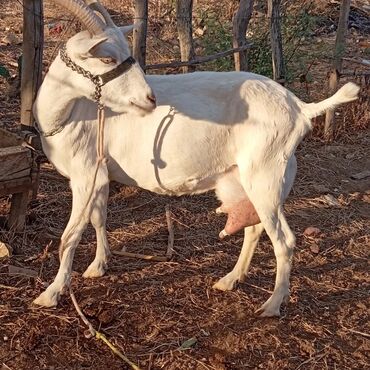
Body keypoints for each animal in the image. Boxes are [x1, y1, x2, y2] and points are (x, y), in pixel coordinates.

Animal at [32, 0, 362, 318]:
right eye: (107, 59)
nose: (150, 99)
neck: (71, 112)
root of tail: (299, 108)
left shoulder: (85, 175)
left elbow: (70, 236)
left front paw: (51, 293)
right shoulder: (99, 173)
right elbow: (99, 217)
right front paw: (99, 265)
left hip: (267, 176)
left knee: (284, 240)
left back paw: (272, 304)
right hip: (250, 178)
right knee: (255, 227)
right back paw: (230, 279)